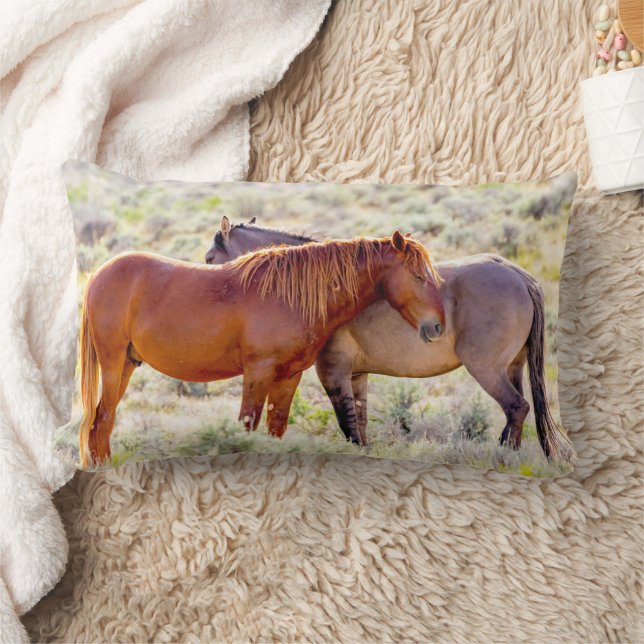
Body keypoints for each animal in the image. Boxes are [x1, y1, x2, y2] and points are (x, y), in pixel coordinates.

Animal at [78, 232, 445, 467]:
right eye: (418, 276)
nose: (438, 326)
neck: (289, 296)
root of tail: (98, 273)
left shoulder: (288, 377)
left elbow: (275, 430)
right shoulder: (258, 372)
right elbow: (247, 425)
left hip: (128, 364)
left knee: (101, 421)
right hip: (113, 364)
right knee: (103, 419)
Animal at [206, 217, 574, 463]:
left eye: (210, 259)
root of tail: (518, 274)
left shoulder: (333, 372)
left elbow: (349, 429)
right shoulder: (356, 376)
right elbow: (361, 425)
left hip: (487, 369)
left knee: (516, 408)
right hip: (512, 367)